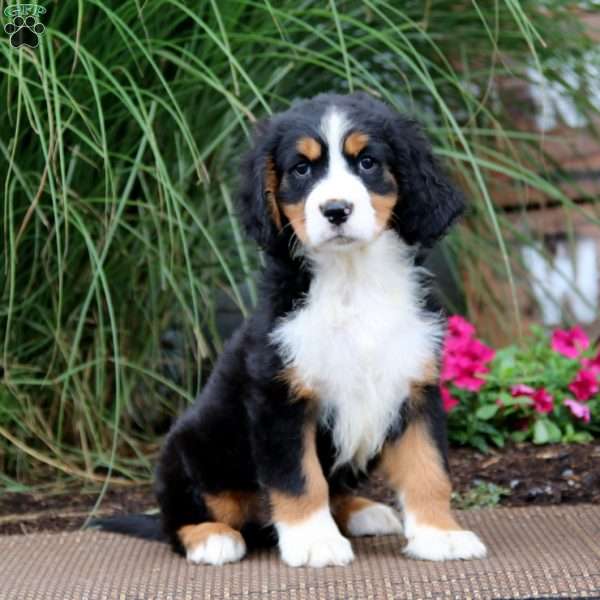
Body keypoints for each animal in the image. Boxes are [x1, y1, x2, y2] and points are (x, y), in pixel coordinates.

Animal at [95, 92, 488, 568]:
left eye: (368, 162)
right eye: (301, 169)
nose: (335, 210)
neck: (352, 281)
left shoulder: (416, 388)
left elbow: (428, 469)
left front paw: (439, 535)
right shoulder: (279, 397)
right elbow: (300, 478)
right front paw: (314, 541)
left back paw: (361, 512)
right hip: (191, 449)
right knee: (178, 518)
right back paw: (211, 537)